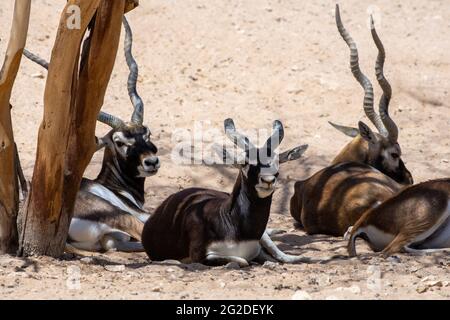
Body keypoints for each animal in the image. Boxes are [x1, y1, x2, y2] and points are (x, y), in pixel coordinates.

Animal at [24, 17, 160, 252]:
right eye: (120, 142)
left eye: (147, 134)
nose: (151, 162)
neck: (114, 188)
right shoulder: (139, 213)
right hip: (120, 216)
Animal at [142, 119, 310, 266]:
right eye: (245, 162)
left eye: (278, 162)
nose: (268, 180)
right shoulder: (201, 256)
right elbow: (243, 261)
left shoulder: (257, 249)